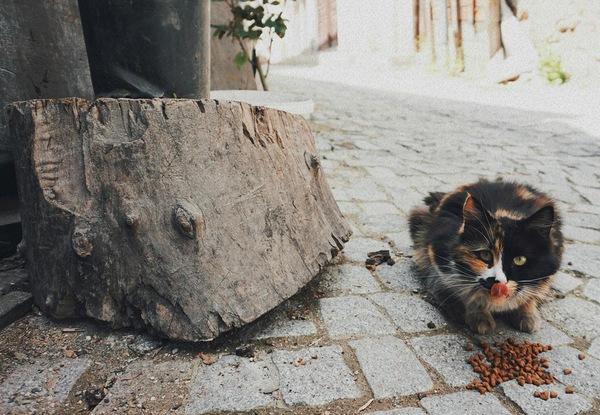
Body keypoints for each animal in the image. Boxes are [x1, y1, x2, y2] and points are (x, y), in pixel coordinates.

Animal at [408, 179, 564, 334]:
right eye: (485, 254)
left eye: (519, 260)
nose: (498, 282)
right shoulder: (437, 256)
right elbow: (465, 292)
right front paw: (480, 318)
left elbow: (532, 294)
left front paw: (528, 316)